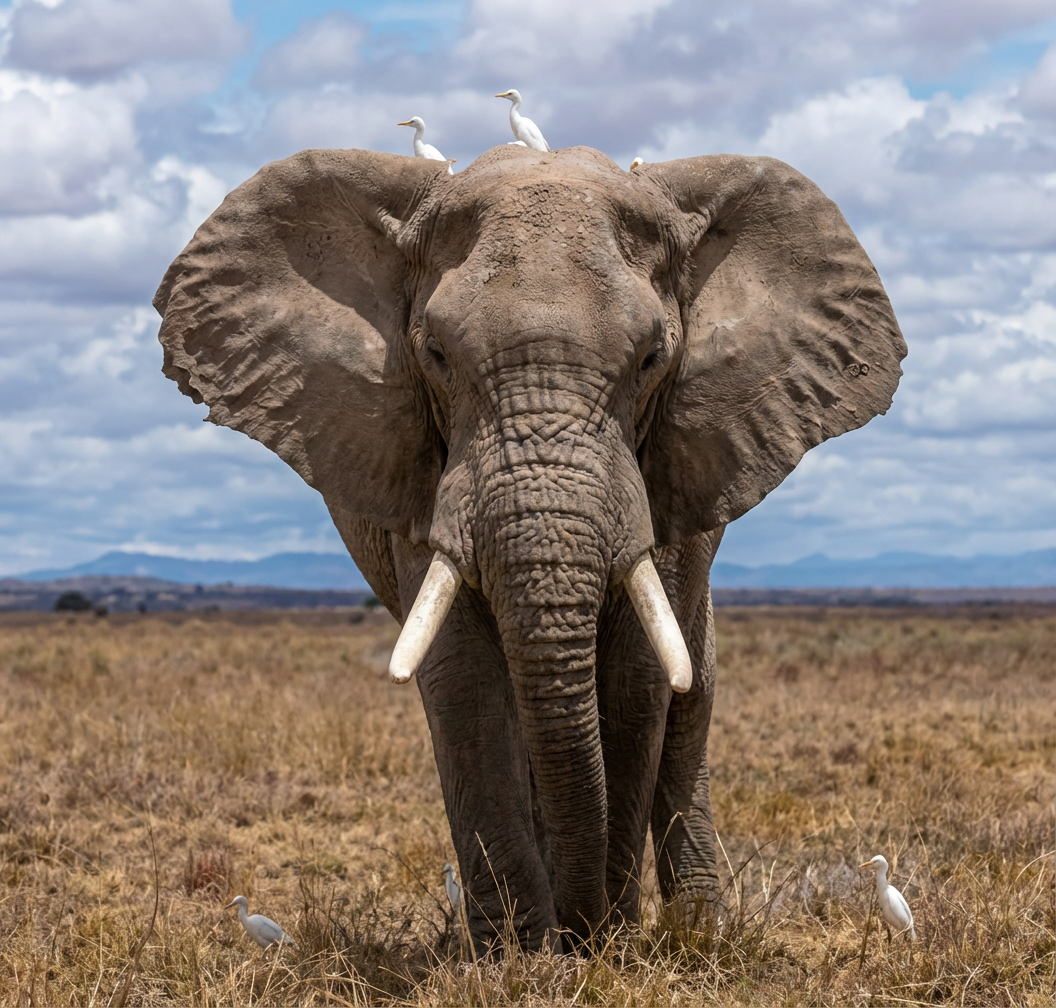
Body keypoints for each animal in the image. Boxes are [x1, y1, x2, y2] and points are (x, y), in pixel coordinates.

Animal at [154, 144, 905, 952]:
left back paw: (696, 931)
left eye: (652, 359)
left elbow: (638, 678)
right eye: (435, 354)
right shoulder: (421, 473)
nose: (582, 929)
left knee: (691, 695)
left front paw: (604, 945)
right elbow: (462, 677)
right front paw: (516, 953)